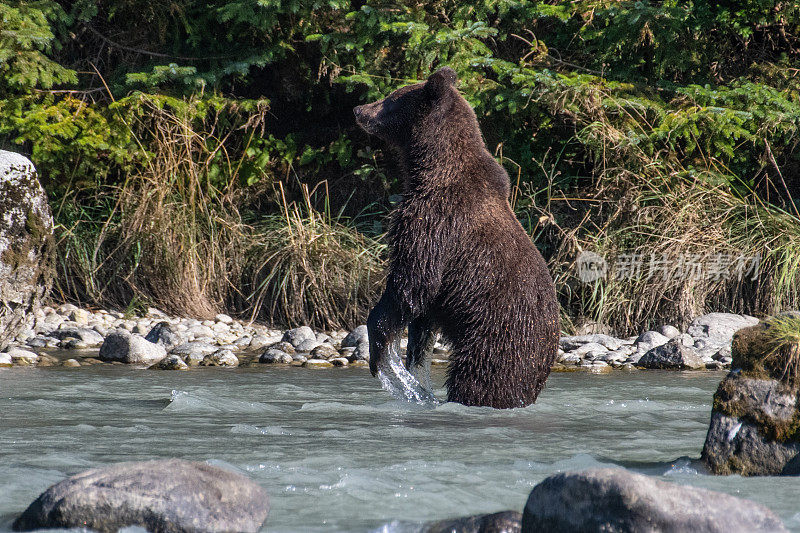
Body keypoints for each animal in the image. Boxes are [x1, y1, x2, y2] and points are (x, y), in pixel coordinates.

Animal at [354, 66, 560, 408]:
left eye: (391, 99)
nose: (359, 109)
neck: (430, 166)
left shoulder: (436, 221)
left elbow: (414, 280)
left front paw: (379, 345)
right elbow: (423, 308)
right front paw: (414, 356)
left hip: (497, 341)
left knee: (479, 381)